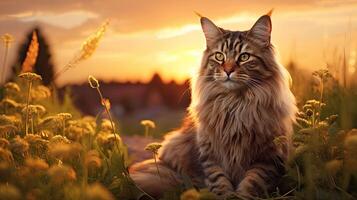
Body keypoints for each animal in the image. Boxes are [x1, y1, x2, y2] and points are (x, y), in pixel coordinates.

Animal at [129, 12, 296, 198]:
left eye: (244, 57)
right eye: (219, 56)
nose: (228, 70)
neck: (234, 104)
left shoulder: (267, 156)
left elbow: (251, 183)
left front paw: (240, 195)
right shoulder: (210, 153)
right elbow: (219, 182)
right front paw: (225, 195)